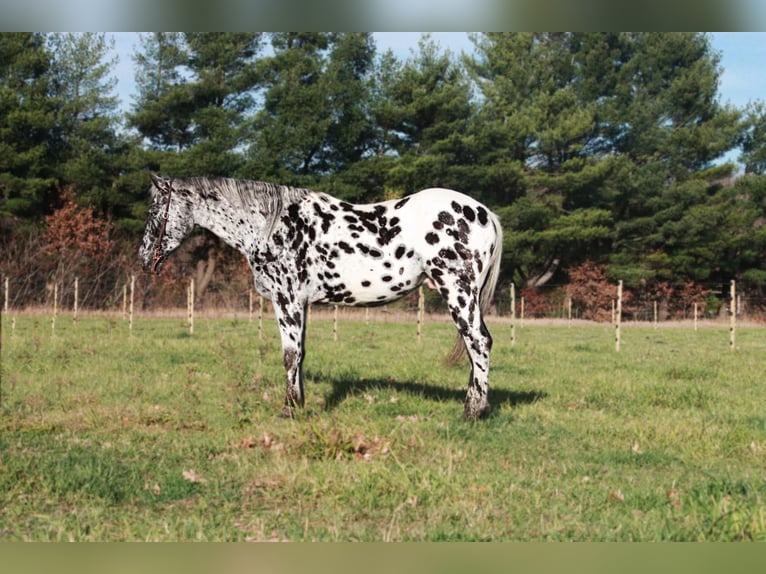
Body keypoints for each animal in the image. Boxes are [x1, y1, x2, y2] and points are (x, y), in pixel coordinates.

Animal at [141, 173, 508, 420]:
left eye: (155, 210)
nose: (145, 259)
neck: (272, 226)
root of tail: (485, 213)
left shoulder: (286, 299)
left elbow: (289, 355)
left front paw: (288, 409)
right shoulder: (300, 304)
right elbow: (300, 355)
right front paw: (299, 403)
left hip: (458, 291)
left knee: (479, 343)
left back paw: (472, 411)